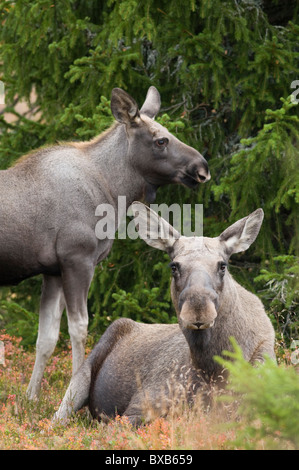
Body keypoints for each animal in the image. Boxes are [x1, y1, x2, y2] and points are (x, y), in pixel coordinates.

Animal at [0, 86, 211, 398]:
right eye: (161, 140)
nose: (202, 168)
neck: (112, 191)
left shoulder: (53, 271)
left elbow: (46, 338)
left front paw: (31, 398)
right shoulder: (78, 260)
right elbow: (79, 329)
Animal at [54, 204, 276, 424]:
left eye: (223, 265)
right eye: (174, 266)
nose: (198, 310)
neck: (212, 368)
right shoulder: (139, 406)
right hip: (80, 379)